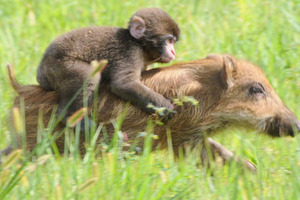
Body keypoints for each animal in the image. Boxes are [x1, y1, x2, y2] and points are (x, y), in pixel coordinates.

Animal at [35, 7, 180, 127]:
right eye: (168, 40)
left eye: (173, 41)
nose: (173, 52)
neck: (138, 43)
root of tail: (41, 70)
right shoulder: (130, 52)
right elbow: (123, 84)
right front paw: (163, 106)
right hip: (58, 65)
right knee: (89, 75)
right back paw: (70, 117)